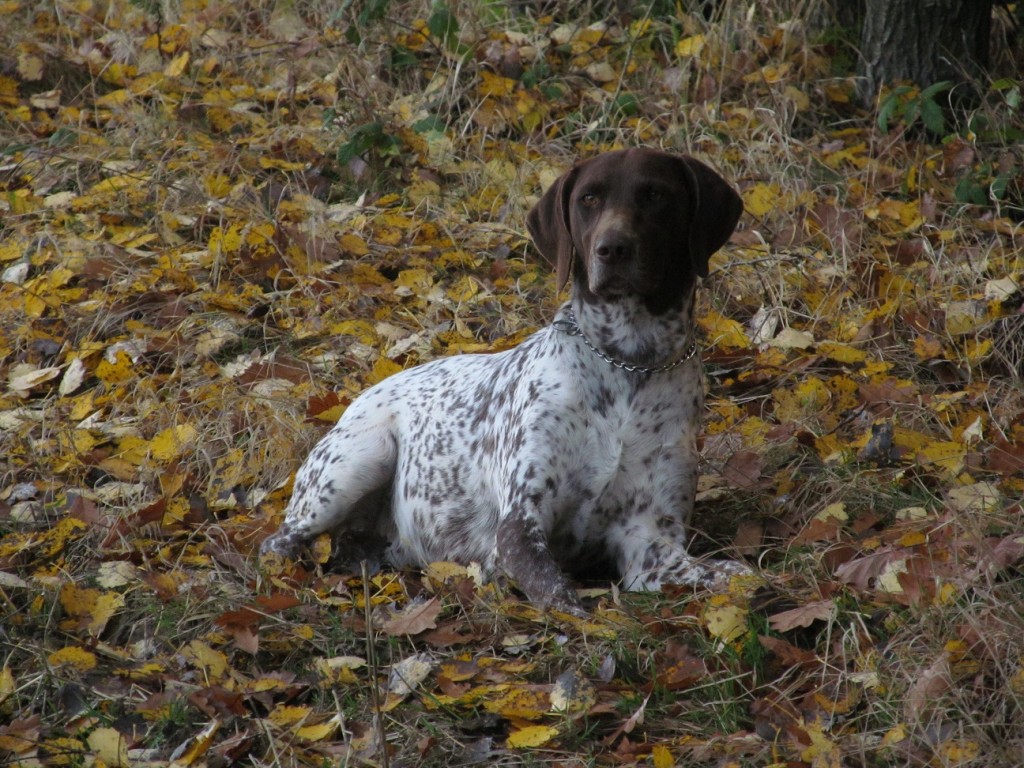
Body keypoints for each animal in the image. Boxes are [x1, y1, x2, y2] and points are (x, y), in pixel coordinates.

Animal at [260, 147, 747, 612]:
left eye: (655, 195)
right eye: (589, 199)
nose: (612, 249)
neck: (628, 366)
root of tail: (366, 393)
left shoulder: (647, 540)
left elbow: (725, 574)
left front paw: (743, 578)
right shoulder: (520, 526)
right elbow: (561, 598)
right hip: (359, 459)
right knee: (278, 541)